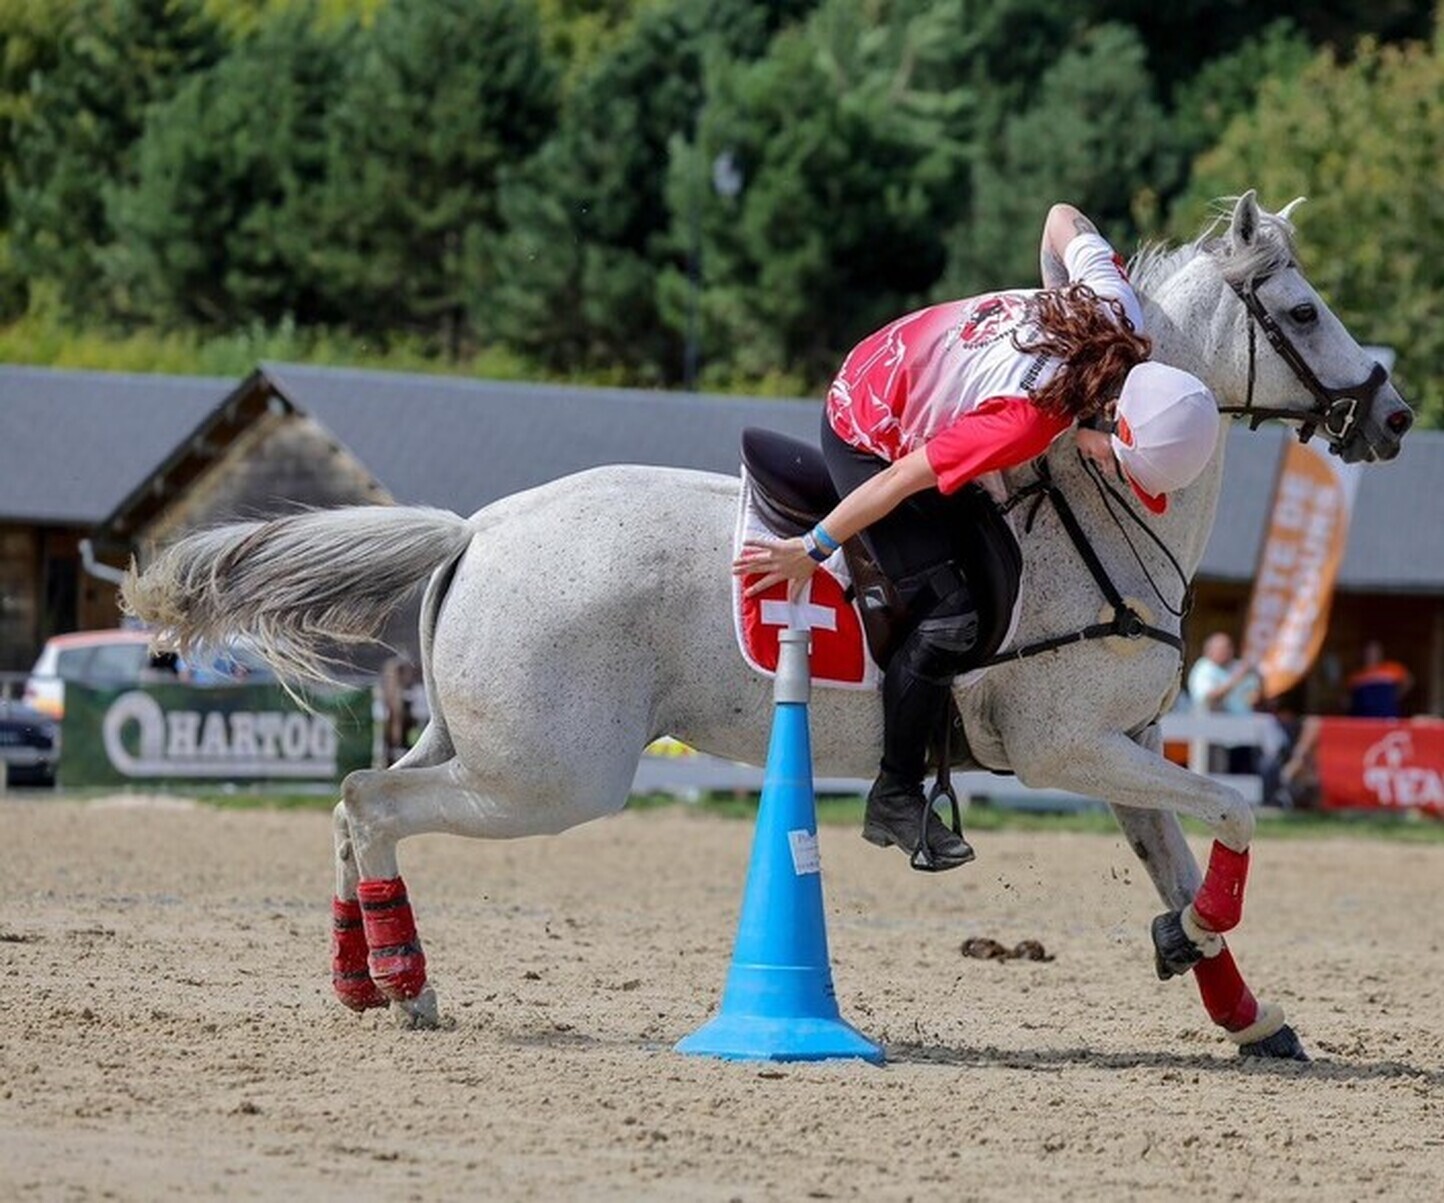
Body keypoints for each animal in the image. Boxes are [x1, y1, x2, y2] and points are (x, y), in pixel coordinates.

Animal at [124, 192, 1413, 1056]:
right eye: (1303, 309)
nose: (1393, 412)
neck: (1103, 498)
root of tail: (480, 526)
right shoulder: (1066, 749)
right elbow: (1235, 812)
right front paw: (1198, 947)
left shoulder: (1121, 751)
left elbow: (1180, 856)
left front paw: (1241, 1007)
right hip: (550, 775)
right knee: (369, 806)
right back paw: (403, 982)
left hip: (480, 745)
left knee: (355, 805)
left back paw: (365, 979)